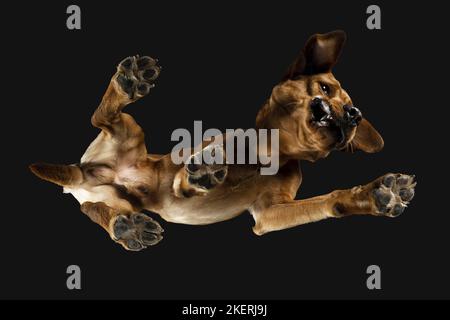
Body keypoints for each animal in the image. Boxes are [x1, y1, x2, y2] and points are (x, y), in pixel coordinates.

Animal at [29, 31, 416, 252]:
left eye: (352, 109)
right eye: (324, 87)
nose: (353, 114)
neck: (272, 154)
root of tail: (84, 172)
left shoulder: (268, 214)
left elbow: (329, 202)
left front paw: (375, 194)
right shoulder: (203, 155)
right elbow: (190, 175)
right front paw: (203, 172)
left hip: (113, 200)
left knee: (98, 212)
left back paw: (128, 228)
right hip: (127, 130)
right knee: (102, 118)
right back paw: (129, 81)